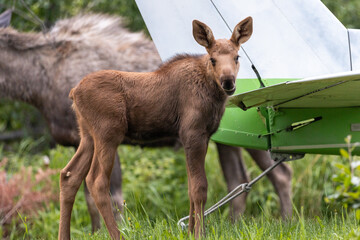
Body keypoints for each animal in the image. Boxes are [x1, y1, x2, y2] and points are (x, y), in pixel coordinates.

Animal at [58, 15, 253, 239]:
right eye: (213, 59)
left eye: (237, 57)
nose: (228, 82)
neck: (213, 96)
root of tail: (74, 92)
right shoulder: (192, 132)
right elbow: (199, 188)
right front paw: (199, 234)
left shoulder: (201, 136)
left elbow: (190, 188)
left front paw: (191, 231)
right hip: (108, 133)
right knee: (96, 181)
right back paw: (117, 235)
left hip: (87, 135)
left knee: (69, 175)